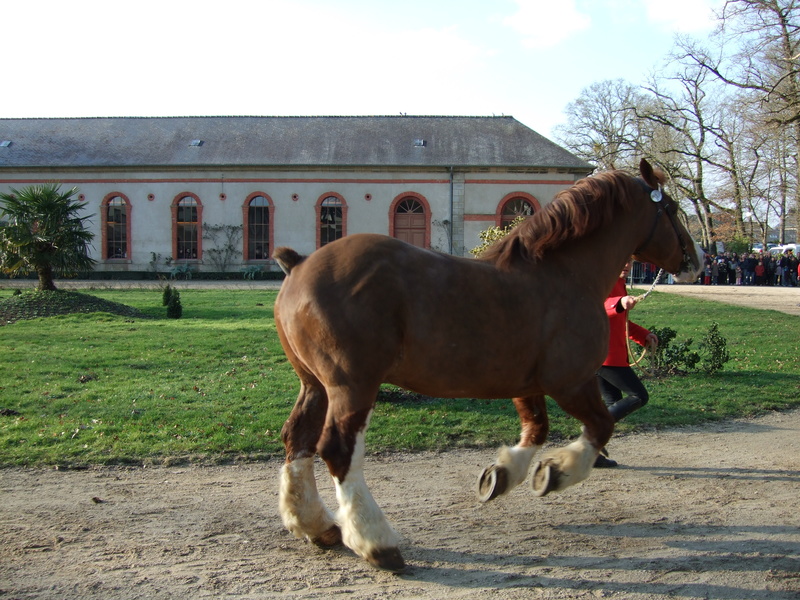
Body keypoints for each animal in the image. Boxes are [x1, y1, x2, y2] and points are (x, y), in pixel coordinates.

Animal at [272, 159, 704, 572]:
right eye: (672, 208)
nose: (696, 261)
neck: (563, 274)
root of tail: (299, 265)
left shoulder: (527, 384)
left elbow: (535, 429)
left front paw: (503, 475)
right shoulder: (572, 383)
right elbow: (600, 427)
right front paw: (557, 471)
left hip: (315, 385)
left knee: (298, 440)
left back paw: (316, 525)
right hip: (352, 386)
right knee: (337, 449)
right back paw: (376, 543)